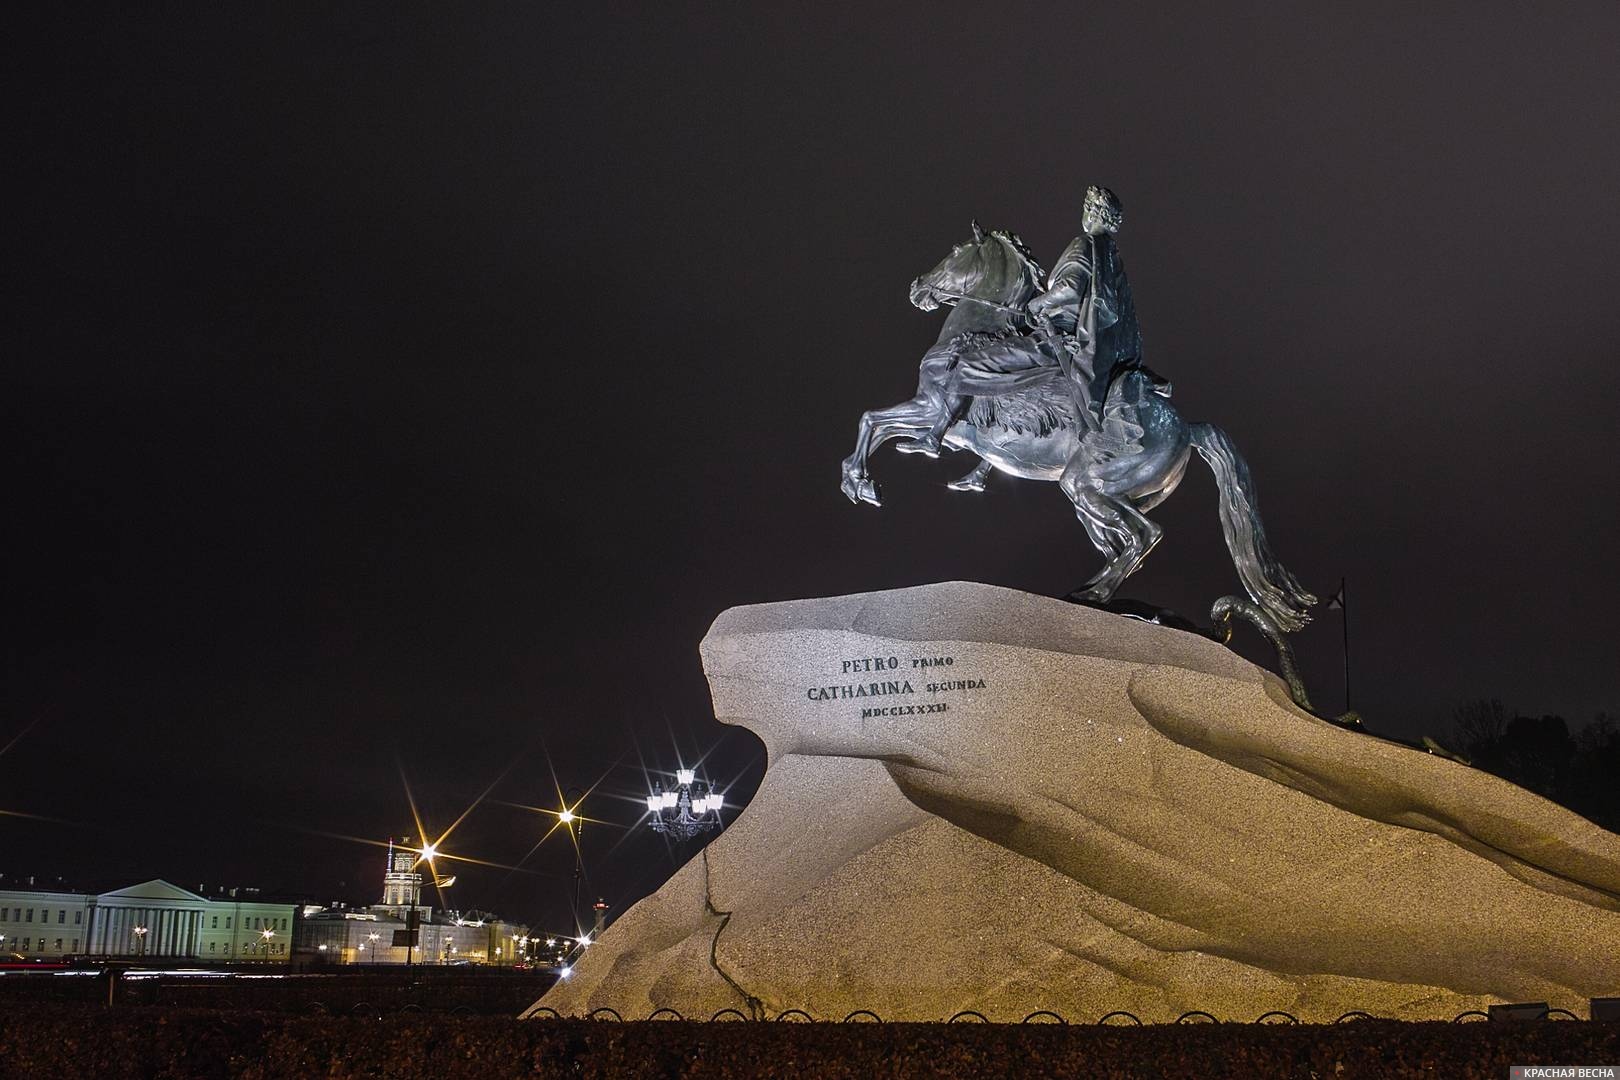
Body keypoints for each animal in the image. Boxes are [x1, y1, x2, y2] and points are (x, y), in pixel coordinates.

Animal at [835, 225, 1315, 637]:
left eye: (955, 251)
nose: (917, 288)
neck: (978, 332)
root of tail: (1186, 427)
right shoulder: (946, 424)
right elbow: (877, 426)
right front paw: (869, 483)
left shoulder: (934, 407)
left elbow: (872, 420)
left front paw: (862, 482)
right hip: (1097, 497)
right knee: (1121, 547)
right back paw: (1092, 595)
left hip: (1089, 486)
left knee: (1145, 535)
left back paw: (1096, 594)